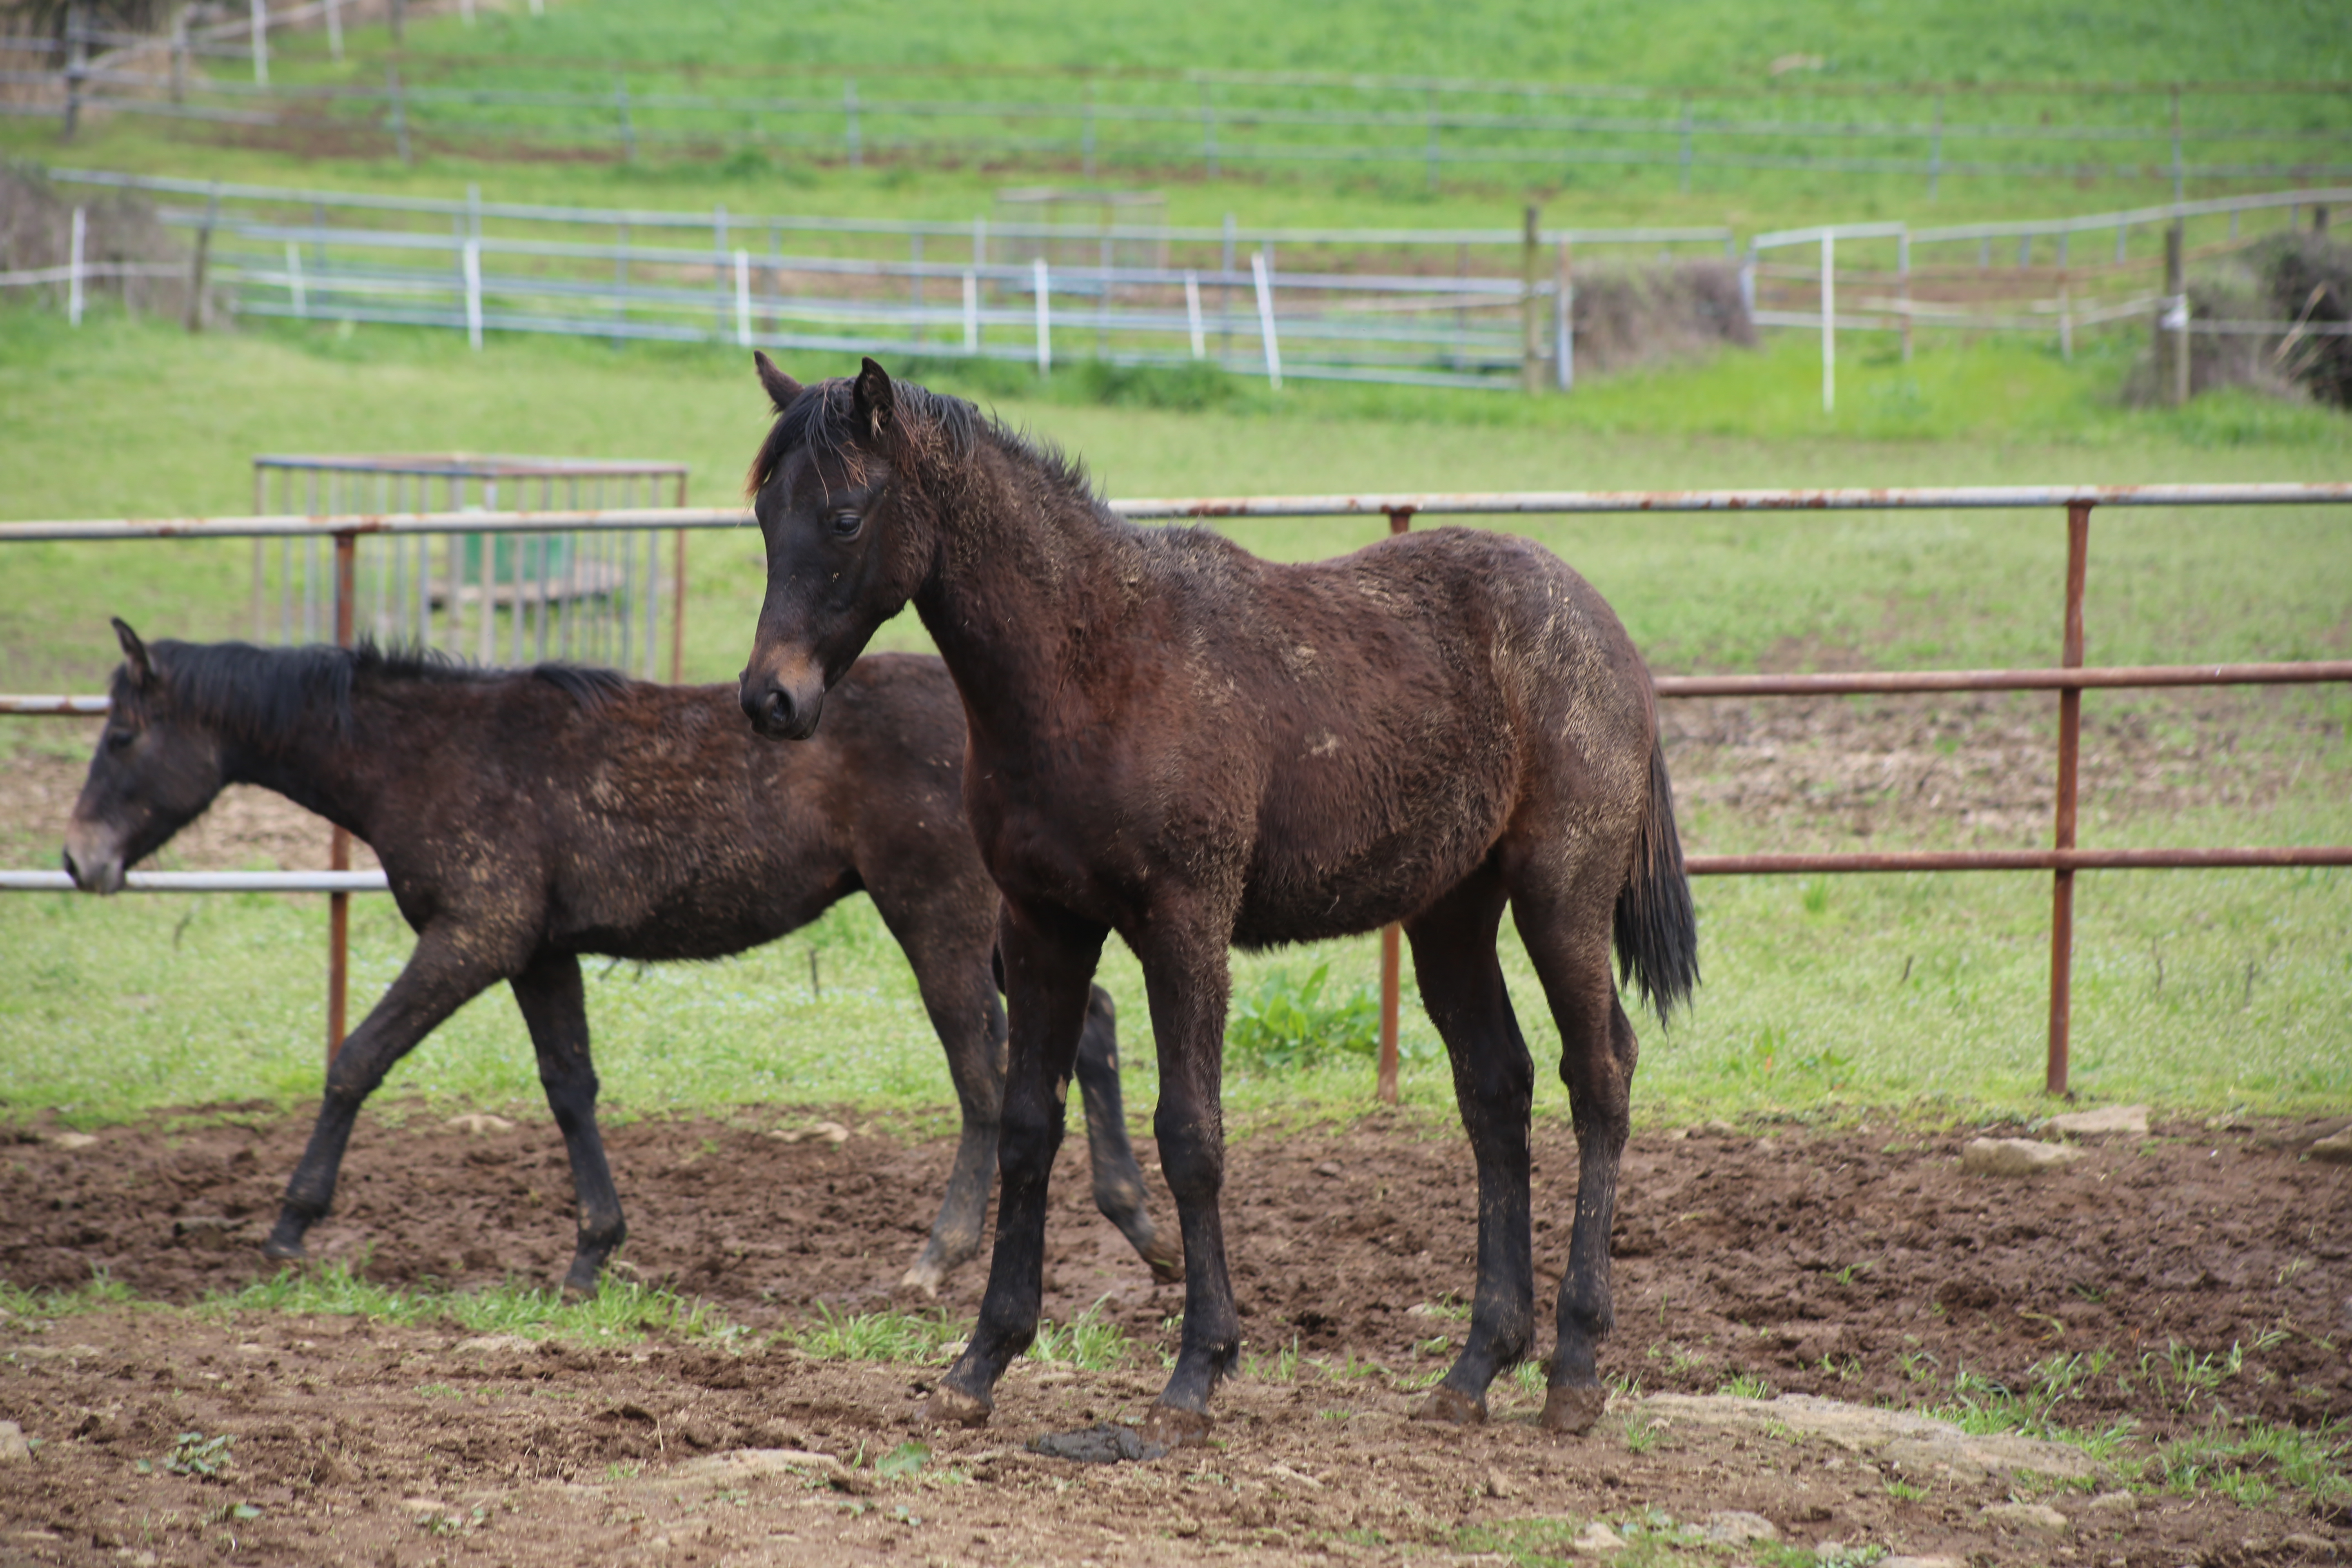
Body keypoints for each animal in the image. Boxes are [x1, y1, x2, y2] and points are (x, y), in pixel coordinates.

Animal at [64, 625, 1176, 1297]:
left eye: (123, 737)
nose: (79, 860)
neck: (426, 753)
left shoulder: (474, 936)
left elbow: (357, 1058)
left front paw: (293, 1224)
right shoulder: (539, 952)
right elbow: (571, 1088)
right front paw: (592, 1251)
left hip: (937, 917)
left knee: (983, 1079)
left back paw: (937, 1259)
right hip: (1004, 927)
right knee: (1092, 1029)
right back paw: (1142, 1228)